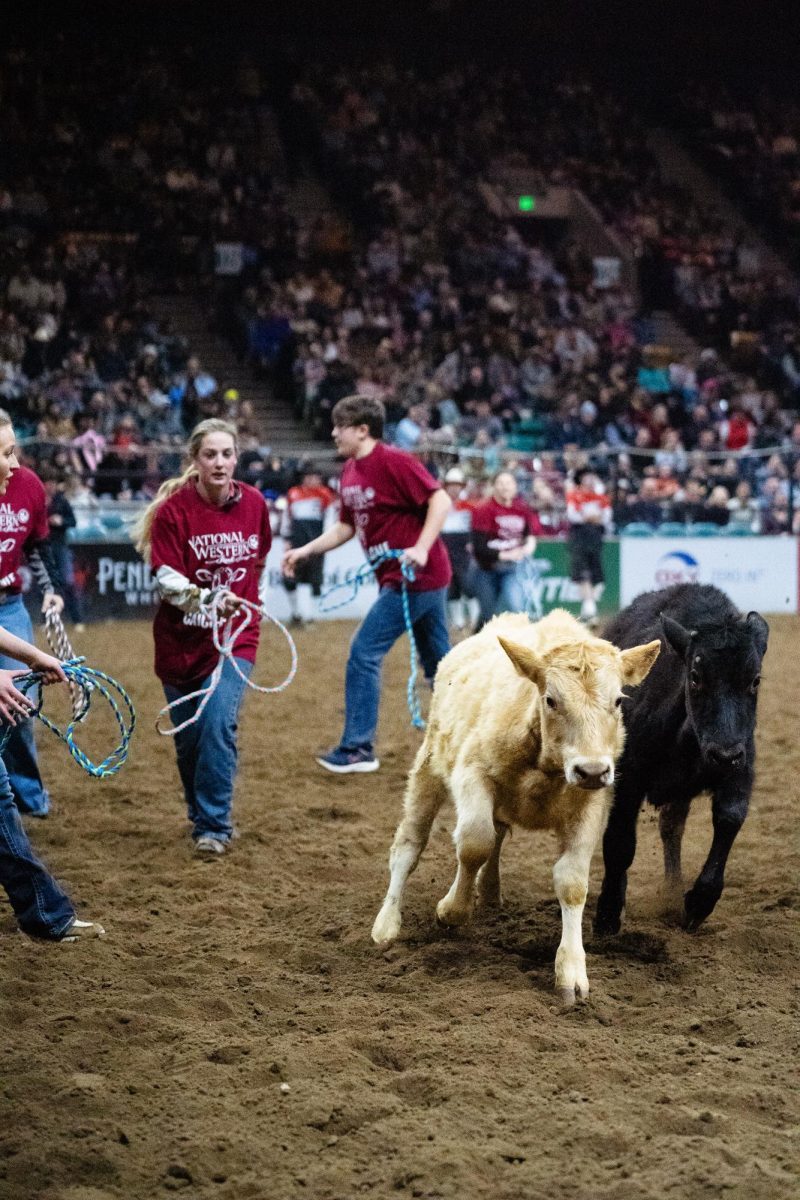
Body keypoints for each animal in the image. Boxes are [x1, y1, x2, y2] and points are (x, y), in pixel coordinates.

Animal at [371, 609, 662, 1003]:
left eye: (618, 700)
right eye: (551, 700)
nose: (591, 770)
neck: (546, 765)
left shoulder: (591, 803)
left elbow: (572, 882)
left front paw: (572, 972)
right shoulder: (472, 774)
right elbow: (474, 844)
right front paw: (451, 909)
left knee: (496, 836)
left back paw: (490, 893)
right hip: (429, 767)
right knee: (409, 846)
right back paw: (387, 925)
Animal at [594, 580, 767, 936]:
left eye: (754, 680)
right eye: (696, 676)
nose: (723, 754)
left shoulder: (741, 768)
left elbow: (729, 819)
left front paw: (698, 903)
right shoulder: (628, 777)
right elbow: (620, 843)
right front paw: (607, 913)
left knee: (671, 827)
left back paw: (673, 888)